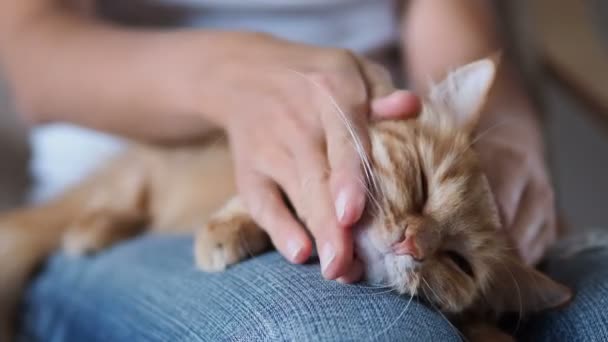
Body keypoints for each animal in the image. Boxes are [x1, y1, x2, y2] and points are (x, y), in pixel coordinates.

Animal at [0, 57, 568, 340]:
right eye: (424, 184)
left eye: (456, 262)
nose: (412, 243)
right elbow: (262, 199)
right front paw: (229, 229)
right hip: (142, 170)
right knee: (112, 200)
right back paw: (93, 230)